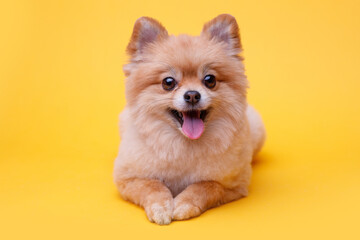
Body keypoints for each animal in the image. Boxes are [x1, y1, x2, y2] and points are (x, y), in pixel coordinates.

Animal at [114, 14, 266, 225]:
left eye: (210, 80)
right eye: (168, 83)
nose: (192, 95)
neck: (185, 145)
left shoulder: (233, 183)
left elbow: (205, 186)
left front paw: (185, 204)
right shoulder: (128, 178)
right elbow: (152, 186)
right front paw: (161, 207)